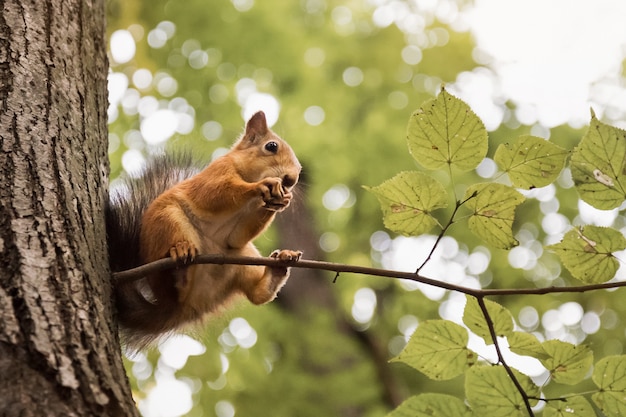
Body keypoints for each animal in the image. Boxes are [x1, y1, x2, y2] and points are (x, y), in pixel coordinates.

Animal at [106, 111, 302, 348]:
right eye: (271, 146)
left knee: (257, 295)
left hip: (242, 259)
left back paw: (280, 265)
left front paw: (282, 200)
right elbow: (218, 193)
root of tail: (184, 308)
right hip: (170, 222)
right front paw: (263, 185)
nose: (291, 180)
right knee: (176, 285)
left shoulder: (240, 234)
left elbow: (239, 235)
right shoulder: (215, 175)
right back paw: (180, 261)